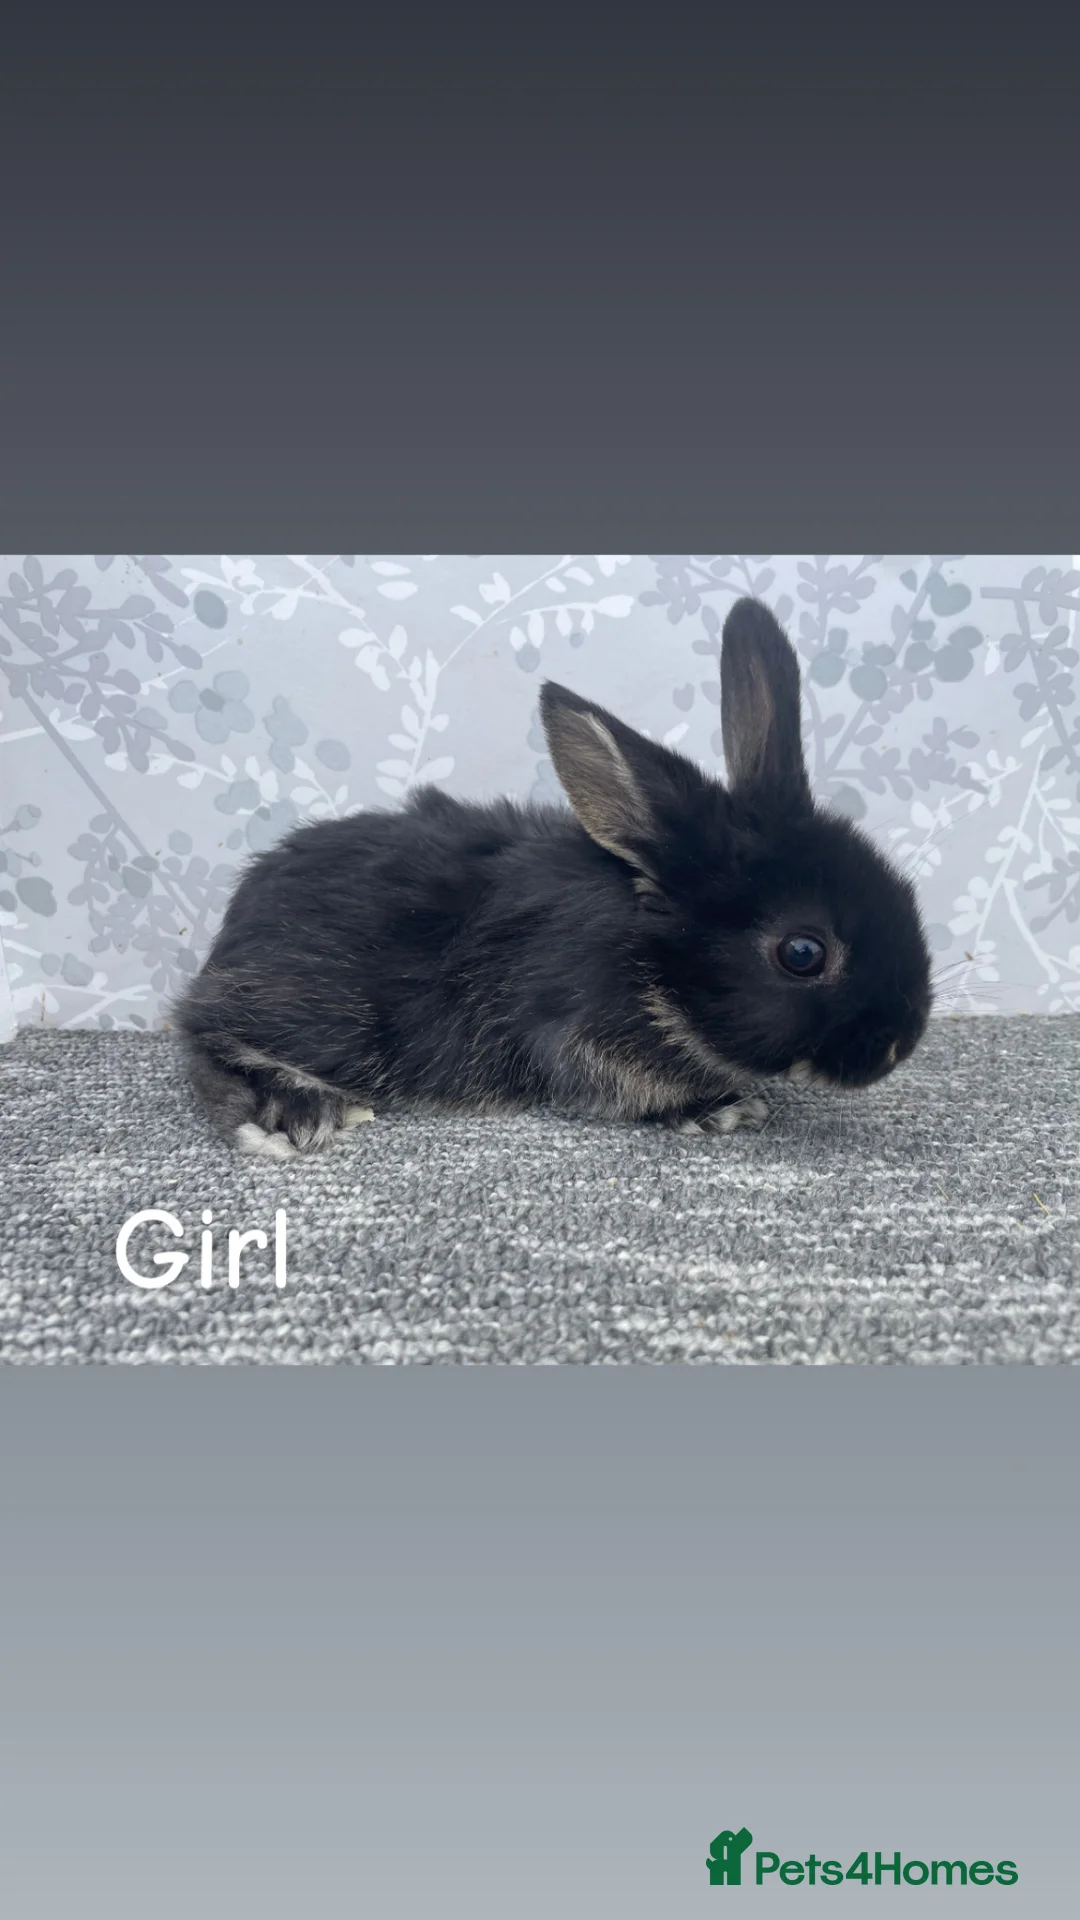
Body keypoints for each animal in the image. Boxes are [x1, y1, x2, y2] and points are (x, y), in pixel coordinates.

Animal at [174, 595, 933, 1158]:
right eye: (802, 953)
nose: (901, 1045)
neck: (647, 958)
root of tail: (233, 926)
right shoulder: (577, 1035)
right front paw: (720, 1109)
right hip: (317, 1010)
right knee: (203, 1029)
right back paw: (294, 1112)